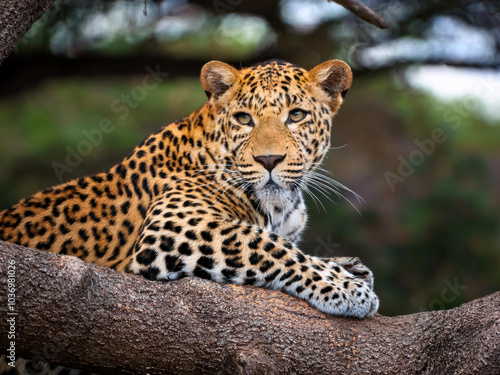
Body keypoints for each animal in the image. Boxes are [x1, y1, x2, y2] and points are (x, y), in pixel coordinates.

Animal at [0, 58, 376, 326]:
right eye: (244, 119)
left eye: (296, 115)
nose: (269, 160)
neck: (280, 205)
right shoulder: (174, 226)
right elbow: (273, 247)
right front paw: (347, 287)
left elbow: (287, 245)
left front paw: (350, 267)